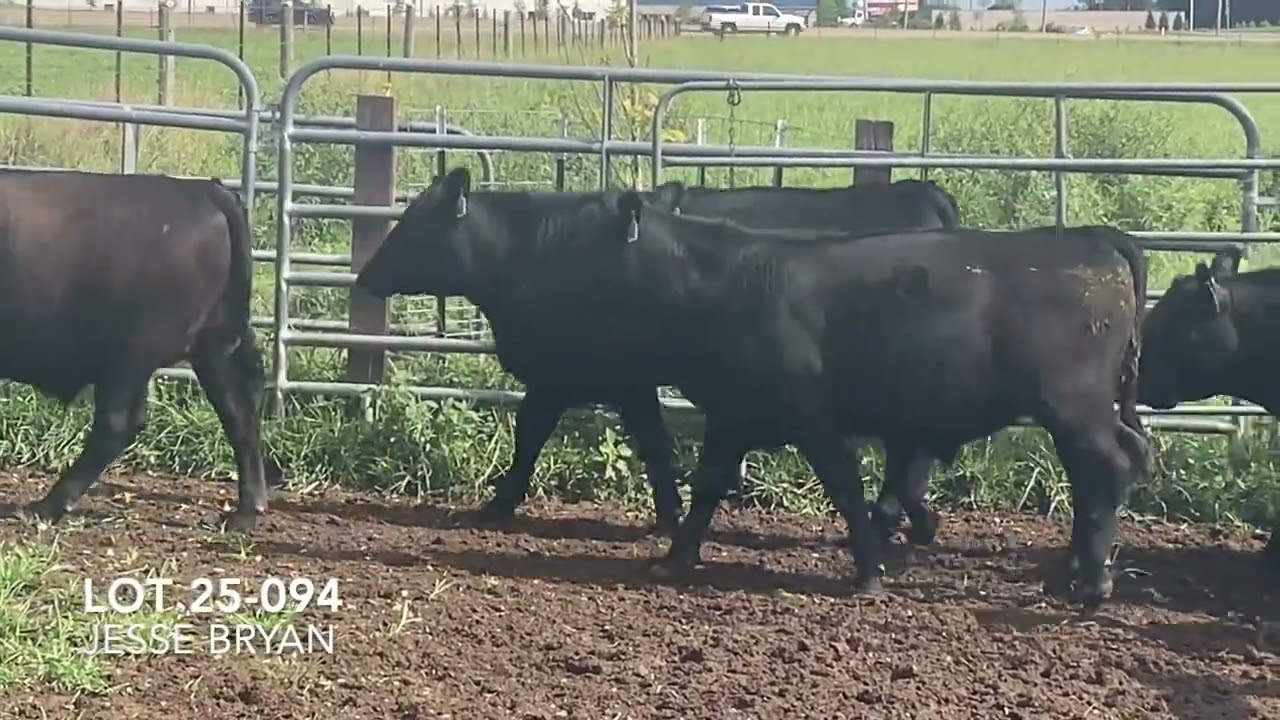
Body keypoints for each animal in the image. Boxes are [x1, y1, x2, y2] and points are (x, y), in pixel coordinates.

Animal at [0, 170, 268, 533]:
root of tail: (204, 189)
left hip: (130, 358)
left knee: (118, 424)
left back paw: (47, 506)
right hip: (213, 350)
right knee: (239, 412)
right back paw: (245, 512)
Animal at [352, 167, 959, 539]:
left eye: (413, 224)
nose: (365, 276)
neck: (540, 249)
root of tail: (919, 192)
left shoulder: (568, 376)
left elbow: (535, 436)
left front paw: (498, 504)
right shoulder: (627, 382)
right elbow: (653, 446)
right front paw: (671, 512)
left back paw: (895, 517)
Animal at [573, 190, 1148, 607]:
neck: (725, 282)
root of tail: (1089, 238)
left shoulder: (812, 417)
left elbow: (846, 487)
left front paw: (868, 572)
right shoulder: (734, 414)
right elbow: (709, 484)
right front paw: (674, 558)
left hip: (1075, 409)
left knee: (1107, 469)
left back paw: (1093, 582)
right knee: (1100, 474)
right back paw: (1071, 574)